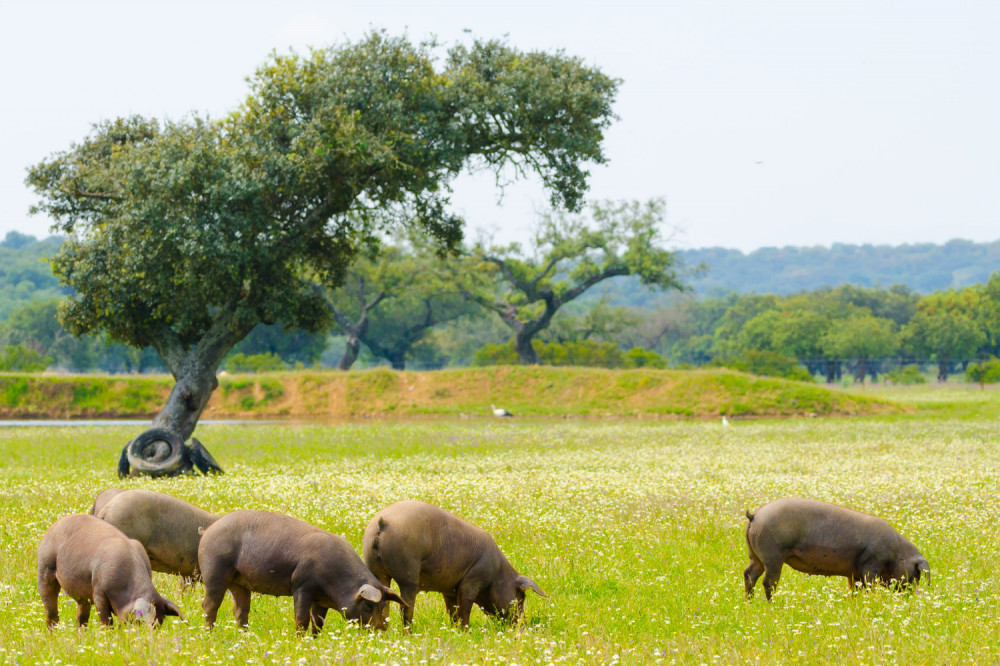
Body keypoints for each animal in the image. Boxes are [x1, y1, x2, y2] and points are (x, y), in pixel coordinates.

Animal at [36, 510, 184, 624]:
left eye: (159, 624)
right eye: (141, 622)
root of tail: (55, 524)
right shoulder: (98, 591)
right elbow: (106, 619)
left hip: (82, 595)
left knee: (81, 618)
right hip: (45, 567)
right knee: (51, 612)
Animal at [197, 508, 404, 632]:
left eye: (383, 605)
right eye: (369, 605)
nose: (381, 630)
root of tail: (208, 531)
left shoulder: (322, 600)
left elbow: (318, 623)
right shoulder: (302, 586)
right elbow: (301, 620)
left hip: (239, 582)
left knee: (240, 610)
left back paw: (245, 637)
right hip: (215, 570)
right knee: (209, 605)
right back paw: (210, 634)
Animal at [362, 498, 548, 628]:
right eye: (521, 597)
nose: (522, 624)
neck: (497, 573)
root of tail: (383, 522)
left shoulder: (449, 589)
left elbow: (451, 610)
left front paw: (454, 630)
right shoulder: (472, 581)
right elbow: (465, 608)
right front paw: (465, 631)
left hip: (375, 569)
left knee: (384, 601)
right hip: (408, 574)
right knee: (406, 607)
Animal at [744, 496, 928, 600]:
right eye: (916, 573)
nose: (910, 597)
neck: (896, 553)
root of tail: (755, 515)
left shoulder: (855, 572)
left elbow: (855, 589)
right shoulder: (871, 563)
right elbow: (869, 585)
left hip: (756, 556)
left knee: (749, 574)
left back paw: (749, 601)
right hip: (773, 555)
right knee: (768, 582)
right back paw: (772, 604)